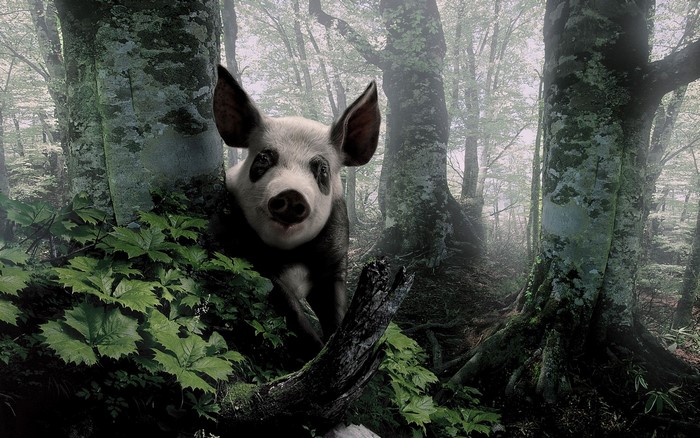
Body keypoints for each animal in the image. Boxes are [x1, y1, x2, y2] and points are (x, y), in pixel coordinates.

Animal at [212, 65, 380, 356]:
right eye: (263, 159)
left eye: (322, 169)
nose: (291, 194)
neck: (292, 255)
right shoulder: (247, 253)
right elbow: (289, 309)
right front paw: (316, 350)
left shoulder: (336, 259)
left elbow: (336, 309)